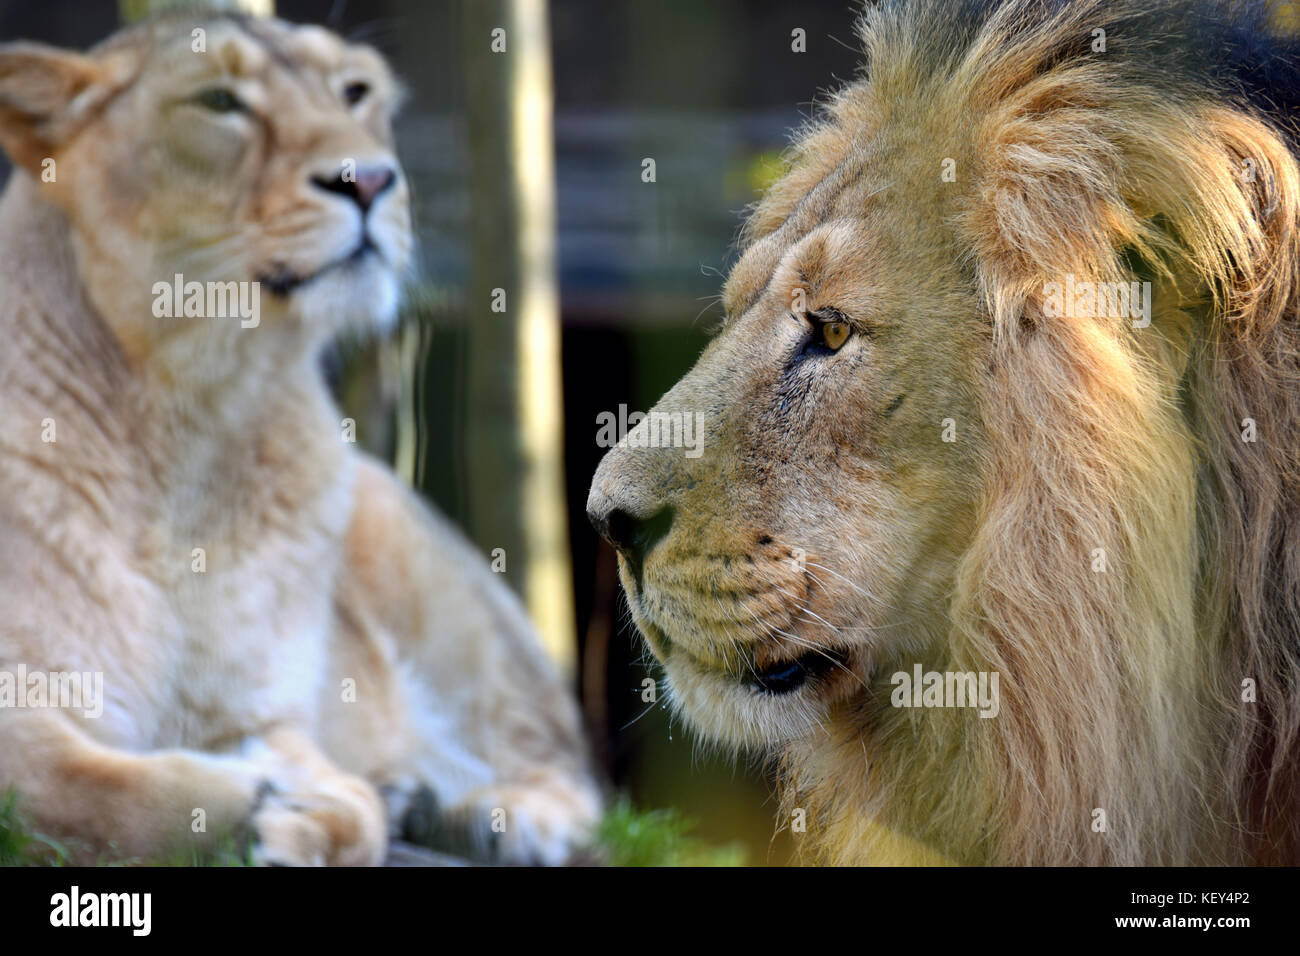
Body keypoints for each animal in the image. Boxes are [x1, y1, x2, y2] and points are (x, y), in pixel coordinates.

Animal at [0, 11, 600, 866]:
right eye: (219, 102)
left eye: (353, 91)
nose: (370, 180)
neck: (195, 422)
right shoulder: (27, 694)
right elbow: (67, 784)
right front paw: (253, 808)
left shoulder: (261, 713)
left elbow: (345, 803)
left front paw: (308, 809)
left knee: (568, 768)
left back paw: (498, 815)